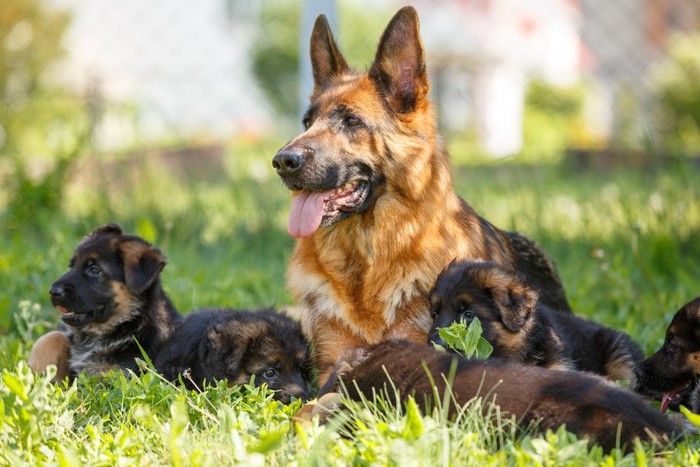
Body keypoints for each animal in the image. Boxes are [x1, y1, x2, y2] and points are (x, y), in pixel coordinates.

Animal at [27, 224, 182, 380]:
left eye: (95, 270)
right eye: (71, 266)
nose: (53, 291)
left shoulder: (114, 376)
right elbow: (52, 336)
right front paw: (35, 370)